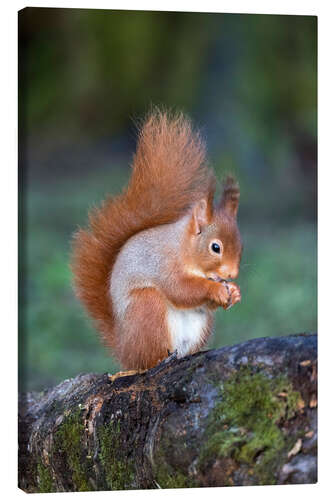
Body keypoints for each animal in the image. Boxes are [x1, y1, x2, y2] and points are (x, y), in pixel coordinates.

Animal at [70, 111, 241, 374]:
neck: (183, 248)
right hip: (147, 307)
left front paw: (234, 292)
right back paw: (158, 360)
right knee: (147, 360)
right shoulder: (164, 263)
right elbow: (181, 289)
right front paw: (216, 289)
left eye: (241, 246)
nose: (232, 274)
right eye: (216, 247)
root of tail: (124, 348)